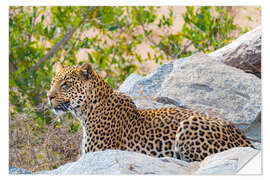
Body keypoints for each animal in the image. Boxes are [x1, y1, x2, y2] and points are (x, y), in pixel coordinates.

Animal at [47, 62, 255, 162]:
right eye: (52, 82)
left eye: (66, 84)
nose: (49, 96)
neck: (86, 111)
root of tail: (245, 140)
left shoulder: (99, 151)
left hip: (190, 124)